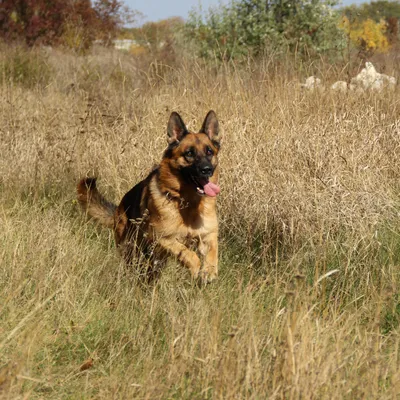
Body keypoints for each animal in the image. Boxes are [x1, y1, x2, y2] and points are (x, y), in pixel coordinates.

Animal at [77, 111, 222, 282]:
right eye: (189, 153)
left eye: (209, 152)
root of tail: (118, 209)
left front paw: (209, 271)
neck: (187, 204)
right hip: (134, 252)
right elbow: (190, 254)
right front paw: (195, 268)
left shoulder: (208, 234)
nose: (207, 170)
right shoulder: (162, 238)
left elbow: (213, 251)